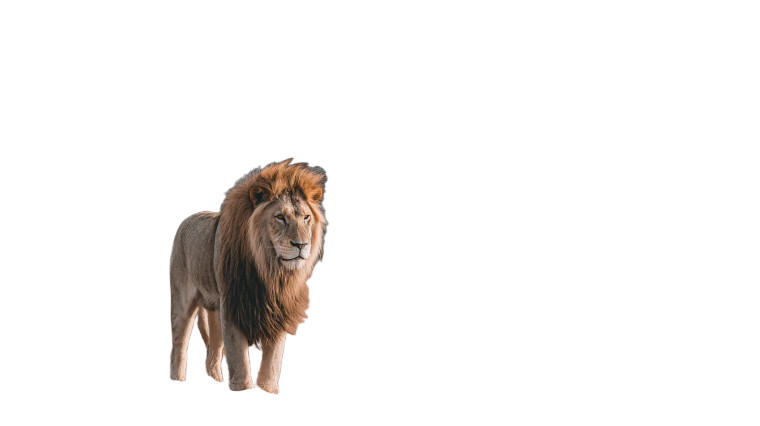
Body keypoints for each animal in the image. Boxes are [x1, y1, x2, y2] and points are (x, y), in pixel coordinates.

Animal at [169, 159, 327, 393]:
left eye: (306, 218)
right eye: (280, 217)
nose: (301, 245)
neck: (271, 272)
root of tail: (188, 219)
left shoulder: (277, 309)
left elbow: (272, 365)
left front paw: (268, 390)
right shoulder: (233, 305)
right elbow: (240, 362)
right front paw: (243, 388)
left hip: (215, 309)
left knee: (212, 355)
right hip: (182, 302)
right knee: (178, 348)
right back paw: (177, 380)